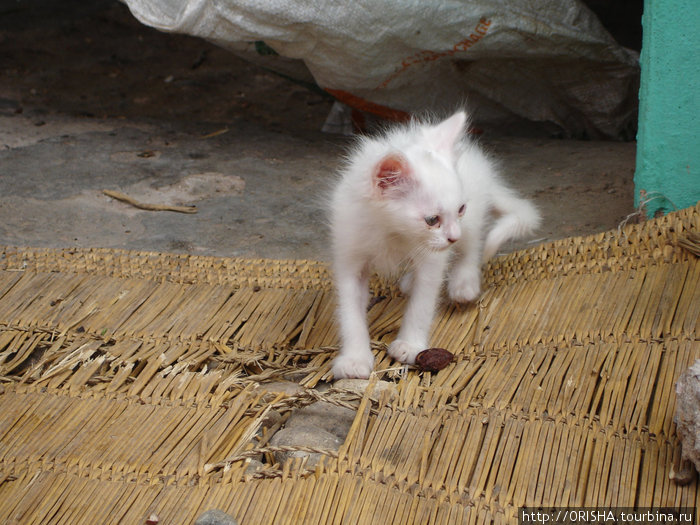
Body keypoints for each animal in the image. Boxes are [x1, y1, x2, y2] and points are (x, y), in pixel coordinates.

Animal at [330, 111, 540, 380]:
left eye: (460, 209)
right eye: (432, 220)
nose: (453, 237)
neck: (392, 232)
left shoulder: (433, 259)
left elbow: (422, 302)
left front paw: (410, 344)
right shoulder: (349, 251)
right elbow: (350, 311)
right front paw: (354, 359)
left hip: (472, 217)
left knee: (472, 245)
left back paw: (464, 282)